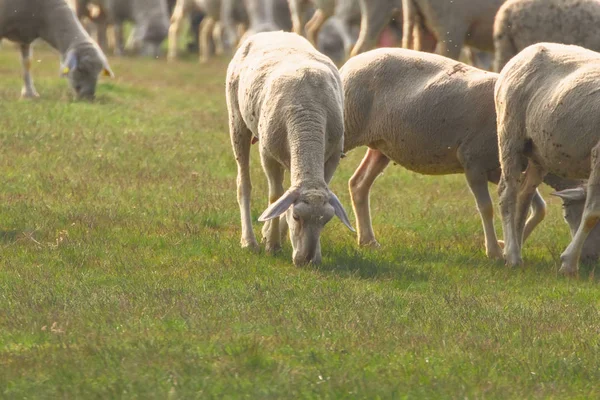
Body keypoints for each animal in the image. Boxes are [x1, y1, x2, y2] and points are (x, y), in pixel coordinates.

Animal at [227, 31, 354, 268]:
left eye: (326, 220)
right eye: (297, 216)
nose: (307, 260)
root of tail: (272, 32)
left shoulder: (332, 156)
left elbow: (286, 196)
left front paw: (275, 235)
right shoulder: (267, 154)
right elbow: (276, 195)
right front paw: (273, 244)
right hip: (237, 121)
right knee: (244, 183)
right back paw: (249, 241)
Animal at [340, 47, 548, 260]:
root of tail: (351, 62)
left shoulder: (500, 170)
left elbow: (537, 207)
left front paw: (508, 244)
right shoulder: (473, 161)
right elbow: (486, 208)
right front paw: (495, 251)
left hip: (382, 146)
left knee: (358, 184)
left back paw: (368, 241)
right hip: (348, 125)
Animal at [492, 43, 600, 276]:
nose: (592, 259)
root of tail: (524, 52)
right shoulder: (599, 155)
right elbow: (592, 213)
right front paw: (568, 264)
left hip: (538, 153)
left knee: (524, 195)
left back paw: (515, 249)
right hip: (510, 134)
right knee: (508, 193)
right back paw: (512, 256)